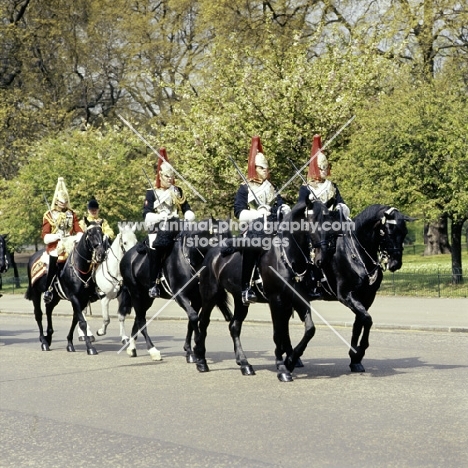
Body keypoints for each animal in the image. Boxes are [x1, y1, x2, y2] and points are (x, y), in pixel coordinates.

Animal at [26, 221, 106, 352]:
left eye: (102, 233)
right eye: (90, 233)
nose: (101, 254)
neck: (79, 267)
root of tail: (32, 257)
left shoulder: (83, 299)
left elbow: (76, 320)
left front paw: (69, 343)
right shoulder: (74, 297)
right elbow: (82, 322)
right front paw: (90, 347)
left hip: (55, 296)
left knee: (49, 309)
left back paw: (49, 337)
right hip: (35, 293)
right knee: (38, 314)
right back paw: (44, 341)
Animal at [119, 219, 232, 362]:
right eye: (219, 237)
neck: (190, 259)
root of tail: (127, 255)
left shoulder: (196, 299)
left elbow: (191, 320)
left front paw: (189, 351)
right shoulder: (180, 295)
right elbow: (193, 317)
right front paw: (195, 347)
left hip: (146, 298)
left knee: (139, 319)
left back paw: (132, 348)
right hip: (136, 294)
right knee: (140, 320)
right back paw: (153, 351)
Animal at [195, 199, 340, 382]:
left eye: (330, 224)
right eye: (313, 222)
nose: (323, 259)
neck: (287, 256)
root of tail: (212, 253)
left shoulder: (298, 299)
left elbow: (309, 329)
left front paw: (290, 361)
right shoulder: (276, 299)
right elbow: (278, 333)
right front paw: (282, 368)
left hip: (240, 300)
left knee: (234, 326)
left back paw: (244, 364)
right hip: (210, 295)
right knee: (203, 322)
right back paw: (201, 361)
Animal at [318, 205, 414, 372]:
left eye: (404, 232)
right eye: (389, 232)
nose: (395, 263)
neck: (355, 252)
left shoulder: (367, 297)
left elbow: (359, 323)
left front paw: (355, 358)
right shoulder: (346, 295)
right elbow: (367, 320)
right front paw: (359, 351)